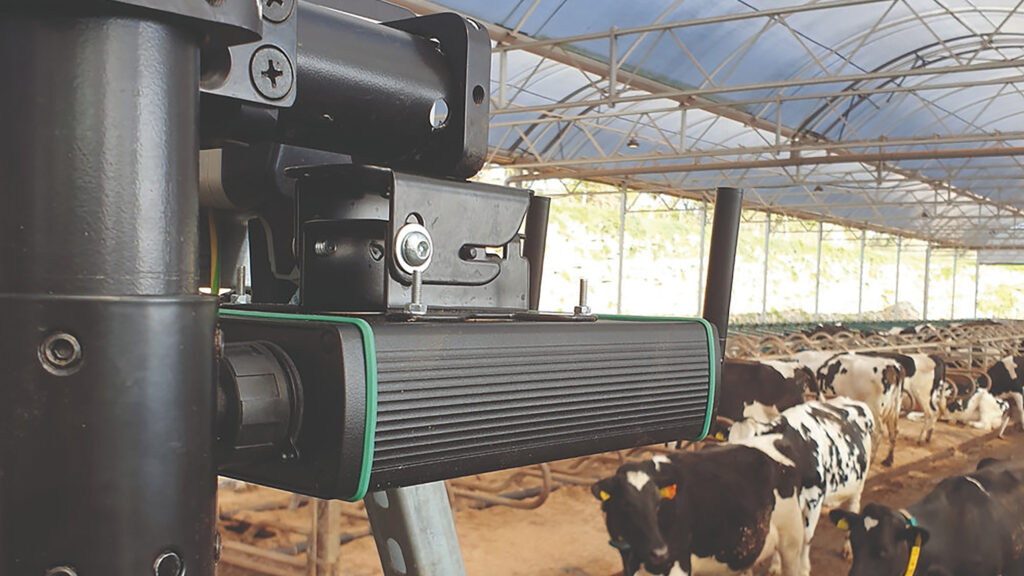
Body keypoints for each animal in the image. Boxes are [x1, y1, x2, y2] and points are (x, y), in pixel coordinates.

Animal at [593, 444, 806, 573]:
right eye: (626, 504)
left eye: (658, 503)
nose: (661, 552)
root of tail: (777, 462)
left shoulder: (679, 562)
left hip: (791, 541)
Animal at [729, 393, 872, 569]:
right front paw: (775, 566)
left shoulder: (815, 499)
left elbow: (806, 537)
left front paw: (803, 568)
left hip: (859, 483)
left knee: (853, 509)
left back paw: (847, 549)